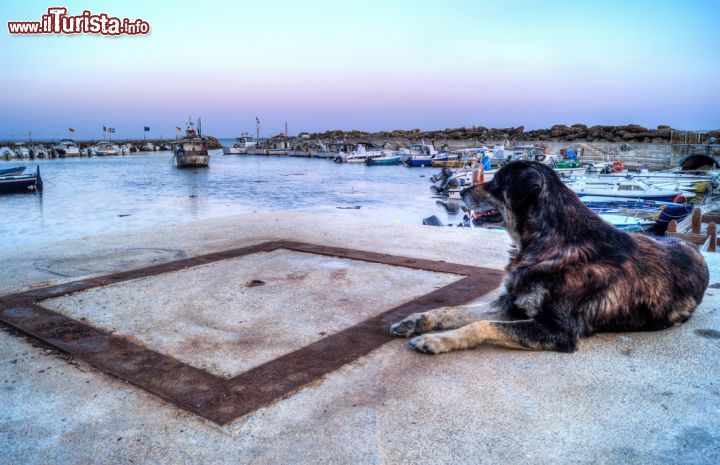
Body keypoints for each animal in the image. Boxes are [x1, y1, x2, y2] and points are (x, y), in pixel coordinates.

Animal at [390, 161, 704, 354]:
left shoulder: (558, 331)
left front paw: (437, 340)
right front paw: (416, 321)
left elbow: (479, 324)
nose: (462, 189)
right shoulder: (511, 304)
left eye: (497, 183)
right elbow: (451, 311)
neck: (551, 242)